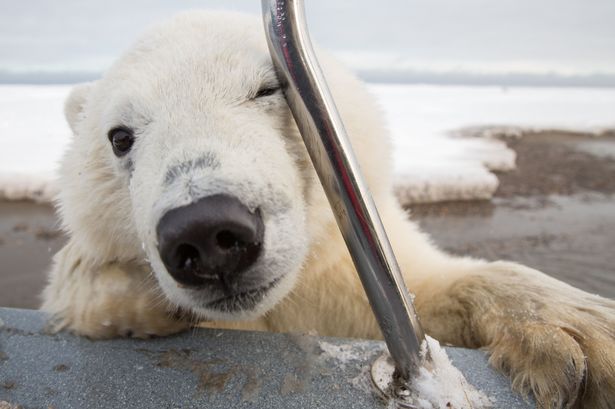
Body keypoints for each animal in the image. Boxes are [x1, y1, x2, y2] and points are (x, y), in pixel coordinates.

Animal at [43, 11, 615, 406]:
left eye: (268, 88)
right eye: (120, 137)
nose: (206, 231)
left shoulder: (338, 277)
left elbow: (431, 291)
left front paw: (582, 338)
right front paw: (131, 299)